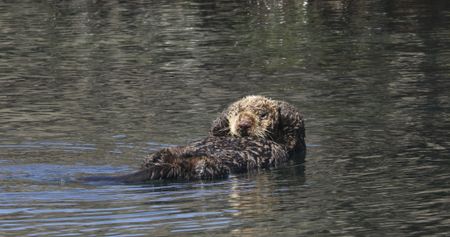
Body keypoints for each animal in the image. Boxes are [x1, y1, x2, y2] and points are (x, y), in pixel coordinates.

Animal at [81, 95, 306, 182]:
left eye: (261, 114)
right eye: (238, 112)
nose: (243, 124)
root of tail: (172, 165)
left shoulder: (292, 147)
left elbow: (294, 130)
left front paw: (281, 108)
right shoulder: (215, 133)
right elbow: (214, 130)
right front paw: (224, 116)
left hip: (211, 167)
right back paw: (160, 156)